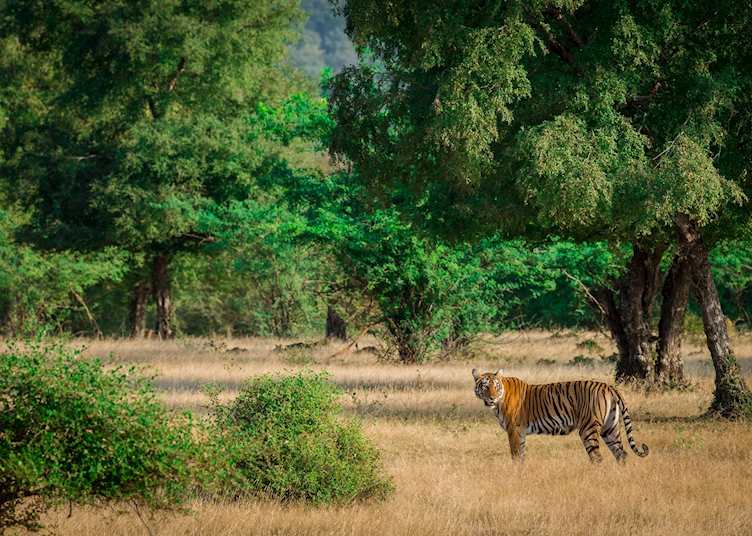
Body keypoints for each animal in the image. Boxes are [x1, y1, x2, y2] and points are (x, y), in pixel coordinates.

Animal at [472, 368, 649, 463]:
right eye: (485, 386)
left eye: (495, 386)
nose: (491, 398)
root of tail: (609, 387)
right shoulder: (520, 433)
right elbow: (522, 455)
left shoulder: (514, 430)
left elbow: (516, 456)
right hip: (610, 428)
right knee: (621, 454)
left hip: (588, 428)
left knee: (597, 457)